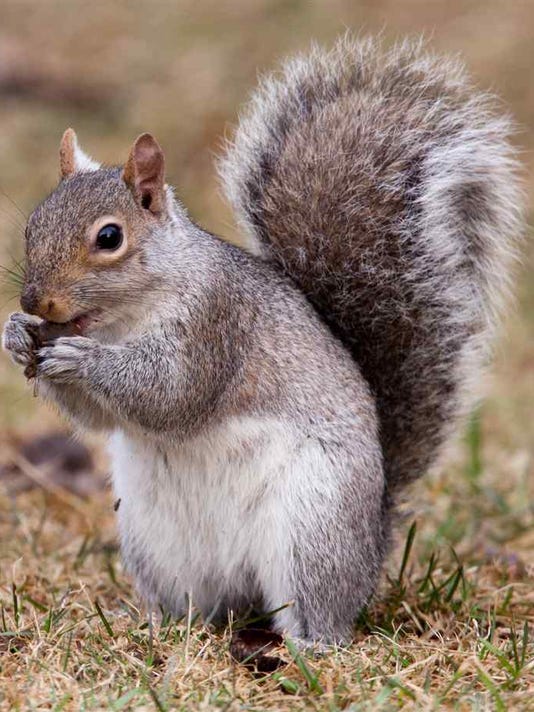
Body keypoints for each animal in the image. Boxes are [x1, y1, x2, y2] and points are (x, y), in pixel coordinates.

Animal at [2, 37, 524, 646]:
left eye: (109, 237)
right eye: (33, 225)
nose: (35, 302)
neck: (124, 318)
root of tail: (374, 539)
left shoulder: (215, 323)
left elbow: (169, 394)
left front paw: (82, 359)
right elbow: (100, 417)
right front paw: (16, 336)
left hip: (312, 526)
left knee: (319, 609)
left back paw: (308, 644)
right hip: (152, 540)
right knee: (198, 602)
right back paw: (160, 627)